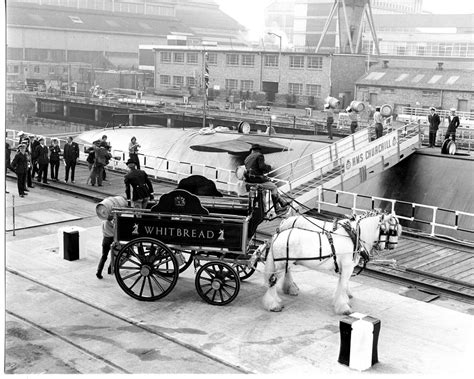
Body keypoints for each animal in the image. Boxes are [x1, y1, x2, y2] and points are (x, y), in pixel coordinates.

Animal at [262, 212, 402, 316]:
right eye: (391, 231)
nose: (391, 247)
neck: (352, 237)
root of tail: (278, 235)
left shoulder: (344, 268)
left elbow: (342, 284)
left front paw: (343, 300)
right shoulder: (347, 267)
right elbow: (343, 285)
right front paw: (343, 307)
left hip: (285, 263)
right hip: (282, 264)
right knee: (272, 281)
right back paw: (273, 304)